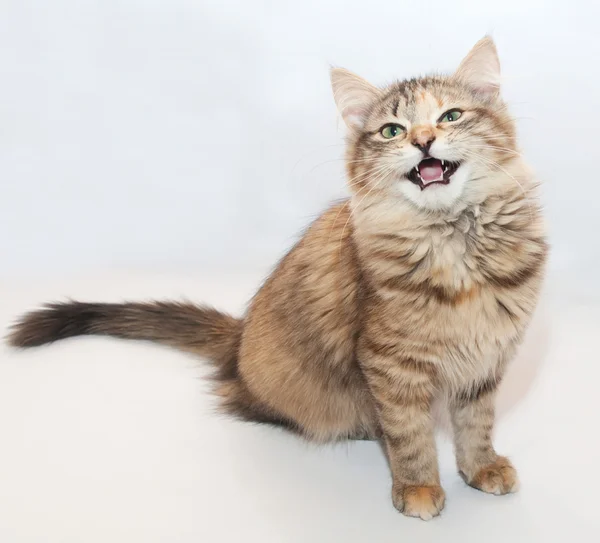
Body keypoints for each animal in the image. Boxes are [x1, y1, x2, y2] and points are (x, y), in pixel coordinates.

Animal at [5, 36, 548, 520]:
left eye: (450, 116)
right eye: (392, 131)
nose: (423, 141)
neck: (455, 242)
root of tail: (239, 341)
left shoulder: (486, 357)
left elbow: (475, 424)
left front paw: (480, 468)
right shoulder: (390, 363)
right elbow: (410, 435)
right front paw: (416, 487)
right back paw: (359, 426)